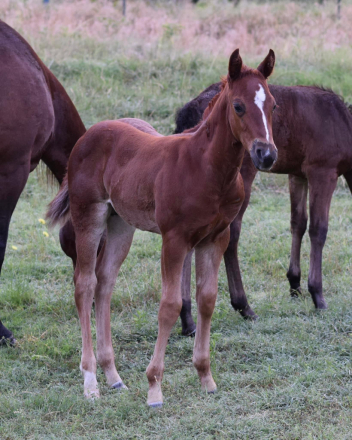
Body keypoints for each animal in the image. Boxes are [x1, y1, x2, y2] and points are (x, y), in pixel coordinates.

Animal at [47, 49, 278, 408]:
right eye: (239, 106)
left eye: (274, 106)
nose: (266, 154)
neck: (207, 168)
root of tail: (89, 135)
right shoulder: (175, 239)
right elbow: (169, 306)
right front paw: (154, 387)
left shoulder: (215, 238)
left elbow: (207, 299)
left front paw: (206, 378)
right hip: (89, 216)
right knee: (84, 285)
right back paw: (90, 382)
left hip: (120, 224)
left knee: (105, 283)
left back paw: (113, 376)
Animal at [175, 80, 352, 334]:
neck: (344, 124)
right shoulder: (323, 171)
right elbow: (318, 230)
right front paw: (317, 294)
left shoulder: (297, 174)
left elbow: (298, 223)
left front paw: (295, 283)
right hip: (240, 175)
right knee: (231, 234)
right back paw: (243, 305)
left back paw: (188, 319)